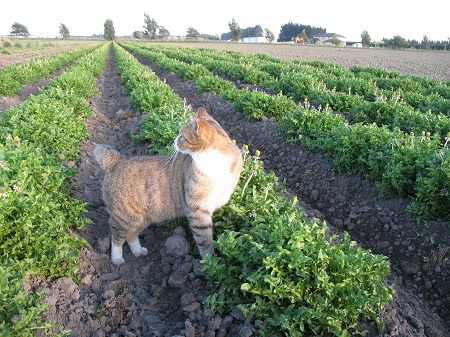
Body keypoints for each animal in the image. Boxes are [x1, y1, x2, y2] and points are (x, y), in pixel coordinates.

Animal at [92, 106, 243, 264]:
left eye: (182, 136)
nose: (174, 140)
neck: (214, 161)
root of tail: (116, 162)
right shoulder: (198, 211)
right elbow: (204, 240)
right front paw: (210, 262)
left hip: (141, 218)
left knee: (131, 235)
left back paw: (138, 251)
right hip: (125, 217)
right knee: (117, 236)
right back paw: (116, 258)